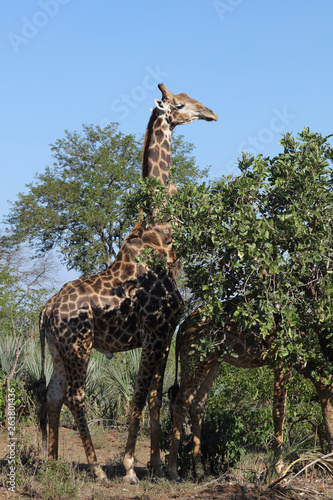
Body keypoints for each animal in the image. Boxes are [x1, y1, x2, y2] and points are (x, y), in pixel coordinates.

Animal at [37, 83, 218, 484]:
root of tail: (45, 311)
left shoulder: (165, 334)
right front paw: (131, 468)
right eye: (180, 104)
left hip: (58, 349)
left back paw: (53, 465)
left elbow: (154, 396)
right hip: (79, 345)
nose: (211, 113)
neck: (164, 241)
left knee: (53, 394)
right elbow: (136, 397)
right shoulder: (153, 331)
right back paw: (97, 470)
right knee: (75, 396)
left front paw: (160, 467)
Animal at [167, 300, 290, 480]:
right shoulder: (284, 357)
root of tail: (182, 327)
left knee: (197, 405)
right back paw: (173, 472)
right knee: (181, 402)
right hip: (195, 358)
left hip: (212, 361)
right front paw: (279, 467)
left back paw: (200, 472)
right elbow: (279, 411)